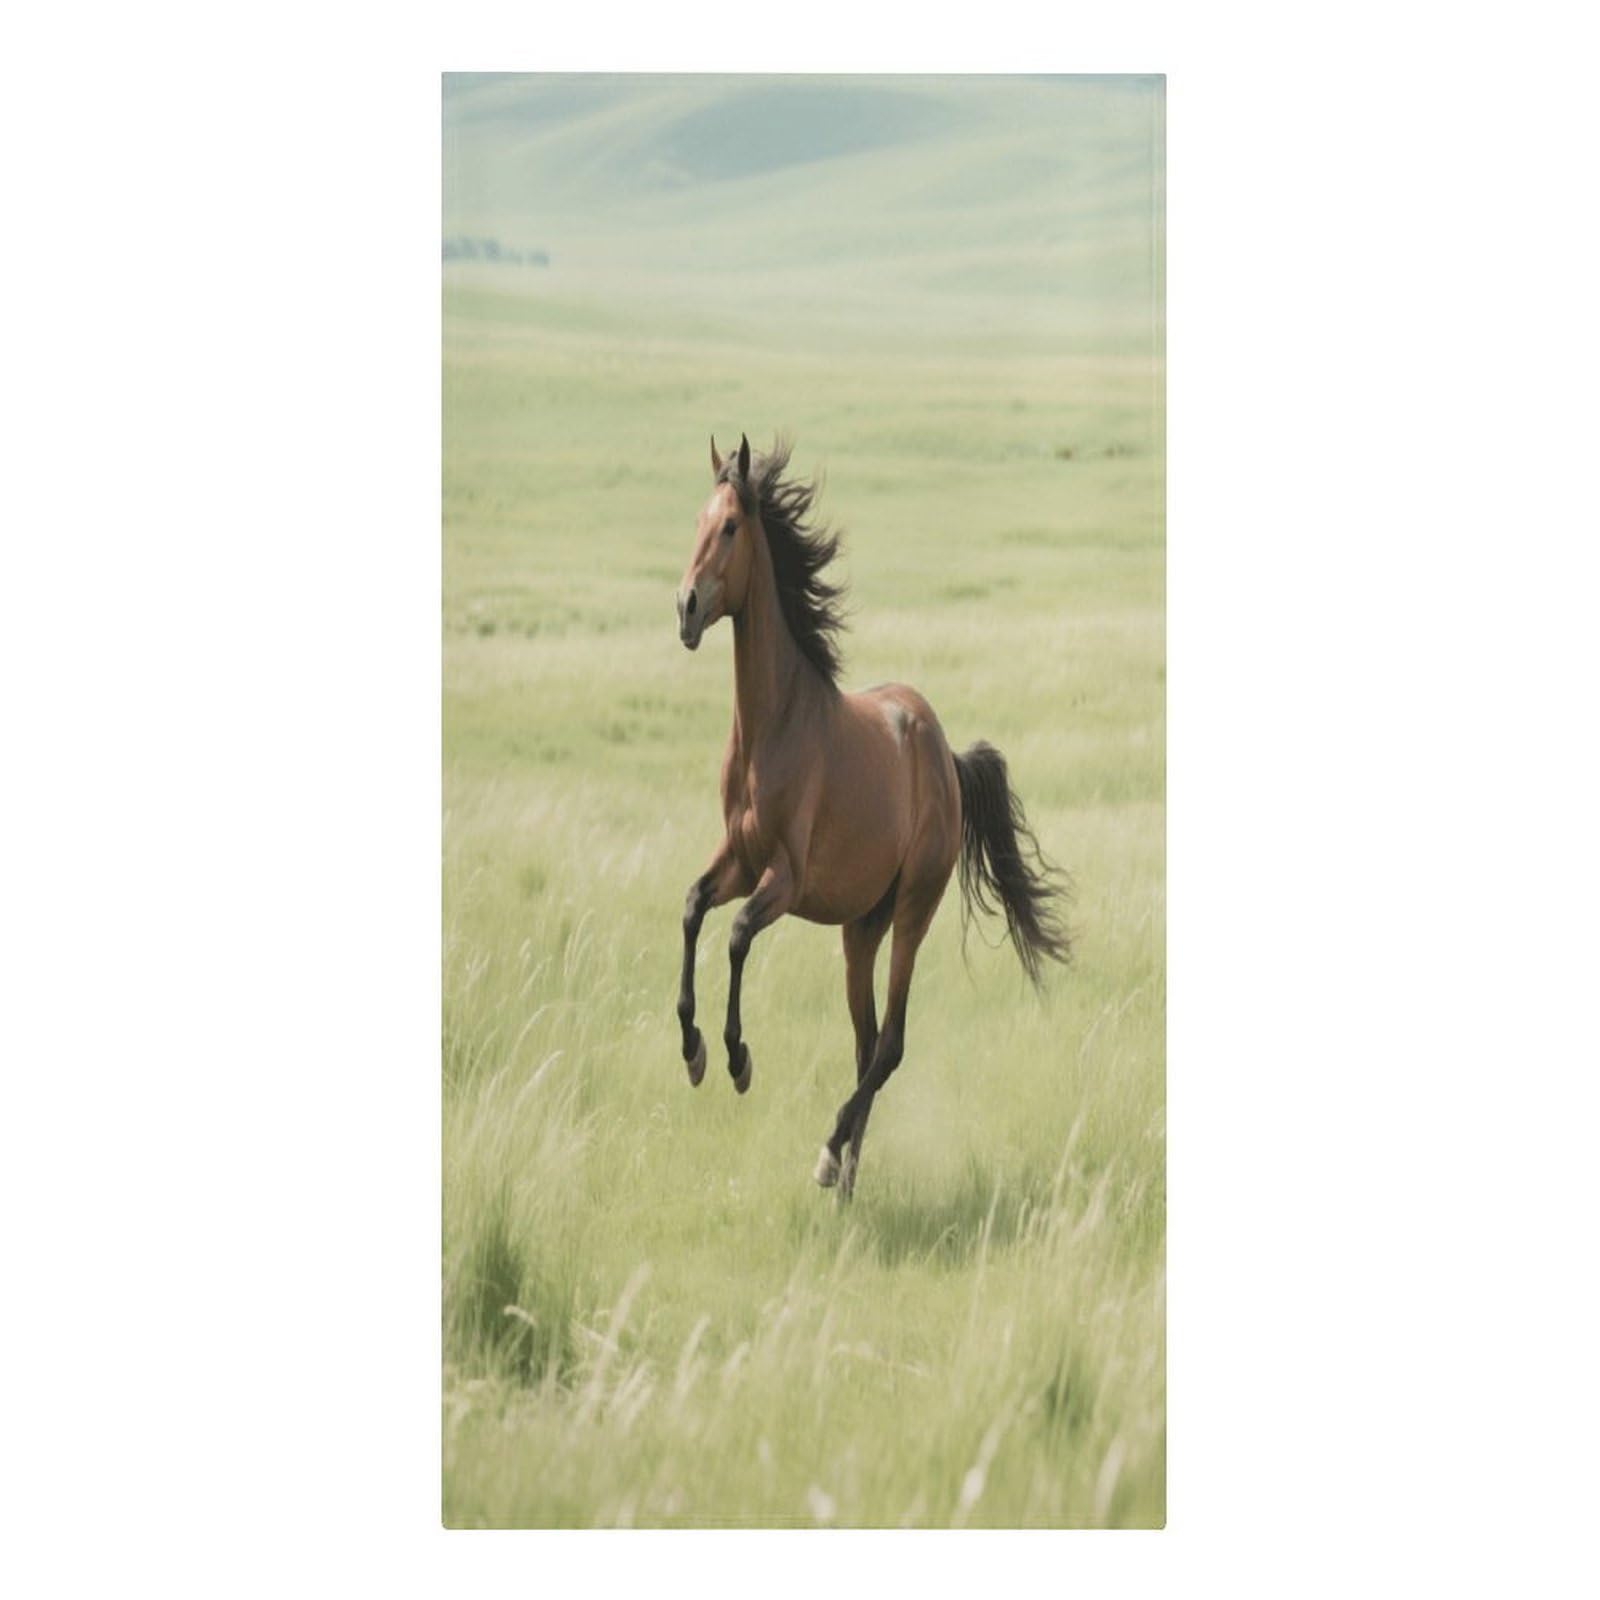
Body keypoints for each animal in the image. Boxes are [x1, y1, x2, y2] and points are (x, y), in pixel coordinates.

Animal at [673, 433, 1071, 1198]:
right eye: (696, 520)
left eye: (730, 527)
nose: (685, 608)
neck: (775, 725)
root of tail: (944, 755)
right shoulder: (736, 859)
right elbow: (692, 908)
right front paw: (694, 1048)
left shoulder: (784, 879)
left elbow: (735, 935)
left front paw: (736, 1058)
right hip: (862, 926)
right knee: (865, 1046)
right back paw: (848, 1179)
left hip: (914, 907)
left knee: (890, 1044)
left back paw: (830, 1156)